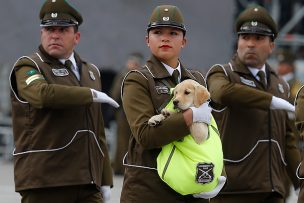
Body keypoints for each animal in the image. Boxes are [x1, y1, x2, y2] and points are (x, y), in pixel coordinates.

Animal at [120, 3, 217, 202]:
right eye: (175, 93)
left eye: (187, 92)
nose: (176, 102)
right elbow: (173, 114)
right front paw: (158, 116)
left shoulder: (200, 132)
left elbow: (190, 116)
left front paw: (173, 112)